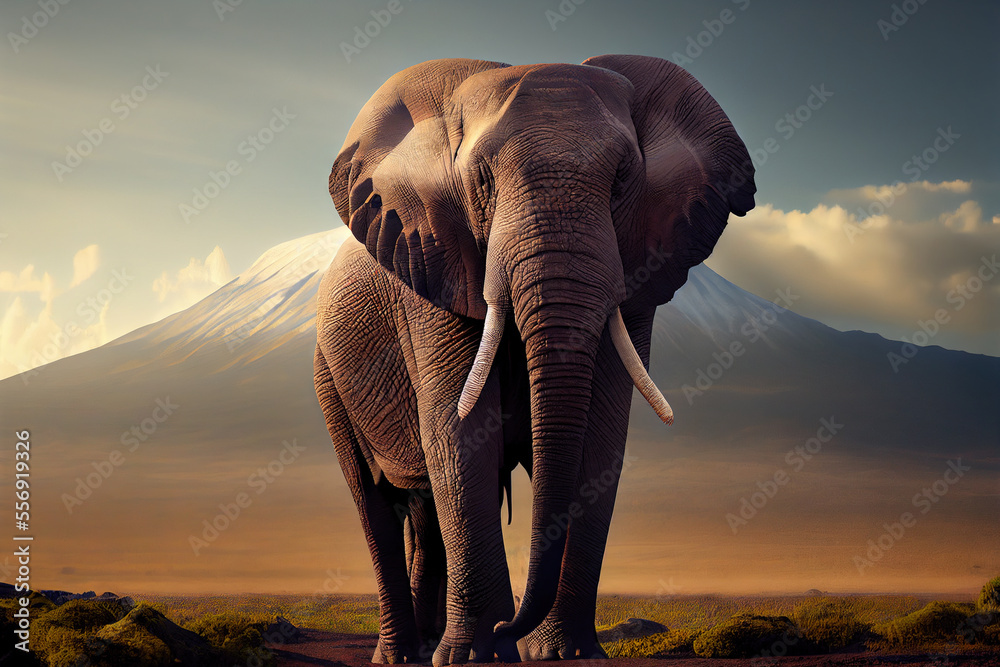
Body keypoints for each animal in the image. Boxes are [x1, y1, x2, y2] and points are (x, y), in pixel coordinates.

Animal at [314, 55, 755, 664]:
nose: (510, 628)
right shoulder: (433, 268)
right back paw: (404, 654)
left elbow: (600, 440)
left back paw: (429, 644)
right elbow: (460, 433)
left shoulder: (638, 270)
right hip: (327, 375)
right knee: (372, 499)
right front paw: (478, 656)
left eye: (623, 179)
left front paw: (565, 654)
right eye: (482, 180)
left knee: (423, 512)